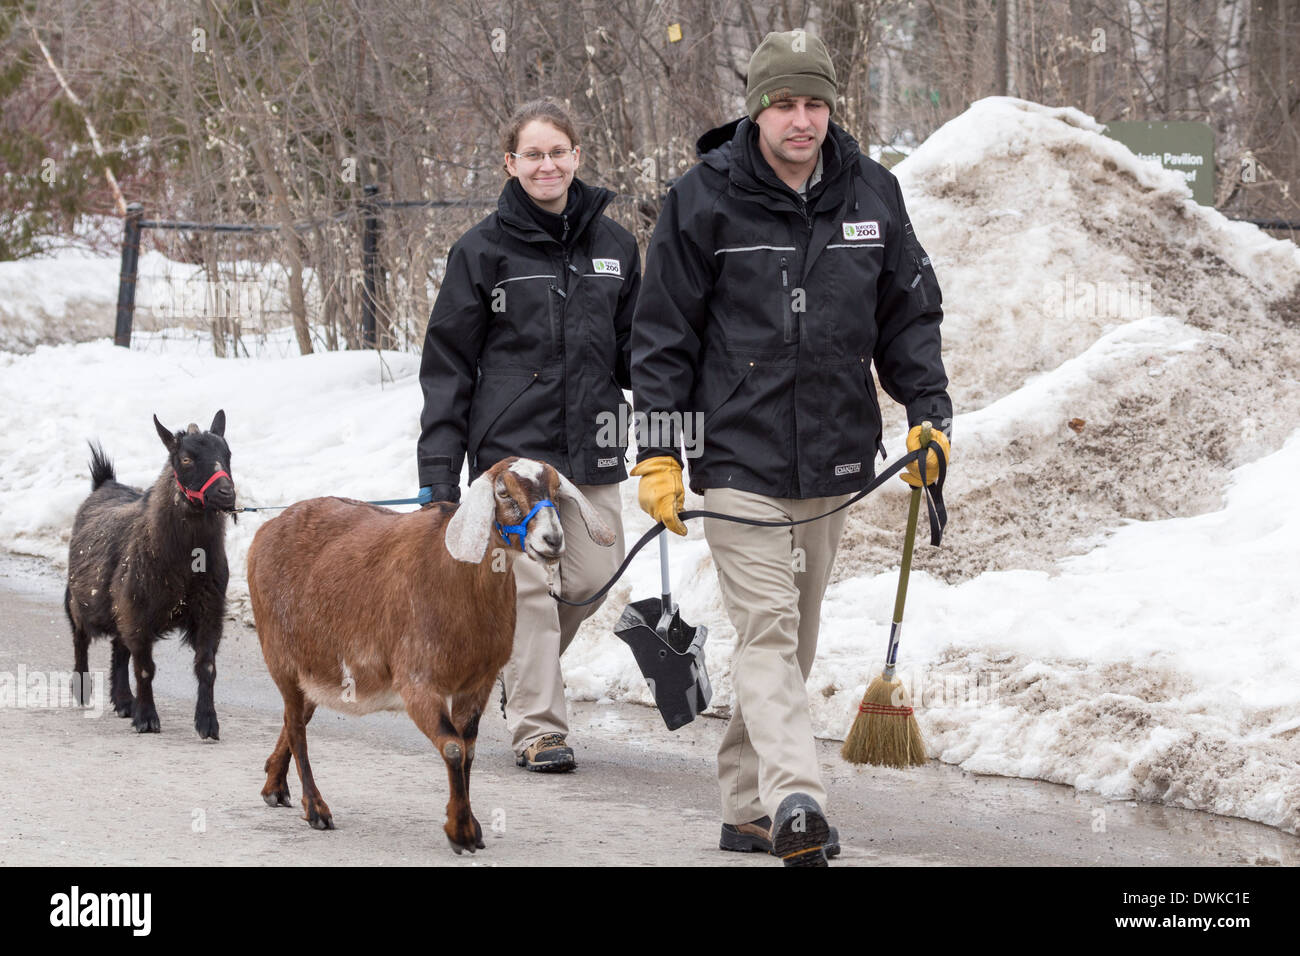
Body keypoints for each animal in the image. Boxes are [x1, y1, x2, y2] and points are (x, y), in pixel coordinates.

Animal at [65, 413, 236, 738]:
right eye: (186, 458)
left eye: (227, 454)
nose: (226, 493)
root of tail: (104, 483)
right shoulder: (138, 611)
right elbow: (145, 668)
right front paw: (147, 718)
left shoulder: (209, 611)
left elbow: (206, 667)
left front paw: (208, 723)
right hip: (82, 601)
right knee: (81, 638)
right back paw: (83, 692)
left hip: (120, 606)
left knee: (119, 649)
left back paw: (123, 701)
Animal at [244, 455, 618, 853]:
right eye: (503, 492)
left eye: (556, 491)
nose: (552, 540)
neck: (455, 579)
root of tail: (266, 530)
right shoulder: (418, 681)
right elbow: (453, 747)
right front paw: (461, 832)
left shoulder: (478, 682)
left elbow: (468, 749)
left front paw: (471, 825)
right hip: (281, 657)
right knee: (296, 725)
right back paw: (316, 808)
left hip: (316, 665)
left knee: (295, 717)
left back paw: (273, 785)